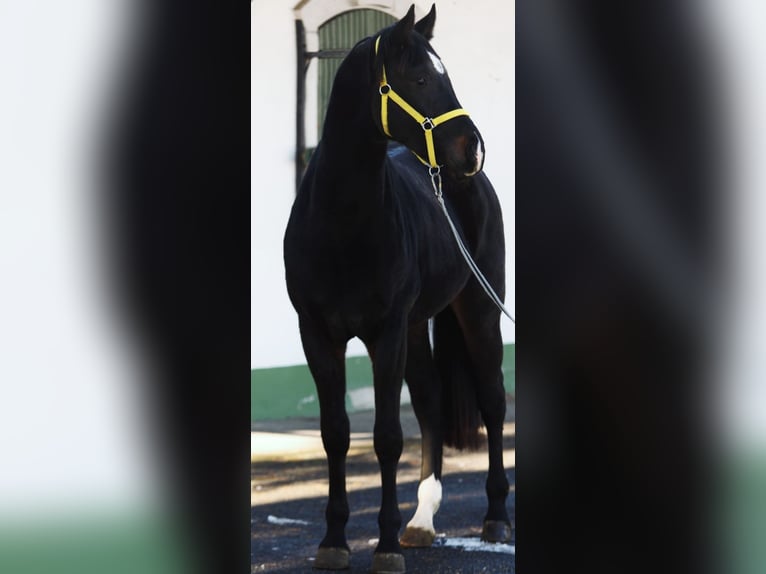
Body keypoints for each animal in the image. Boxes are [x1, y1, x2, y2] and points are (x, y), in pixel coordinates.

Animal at [284, 5, 512, 574]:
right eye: (421, 78)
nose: (473, 148)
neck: (341, 225)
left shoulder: (384, 333)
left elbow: (387, 437)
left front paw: (383, 547)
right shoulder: (317, 335)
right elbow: (336, 433)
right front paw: (334, 542)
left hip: (479, 311)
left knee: (493, 403)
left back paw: (495, 517)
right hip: (416, 326)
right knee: (430, 402)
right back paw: (422, 521)